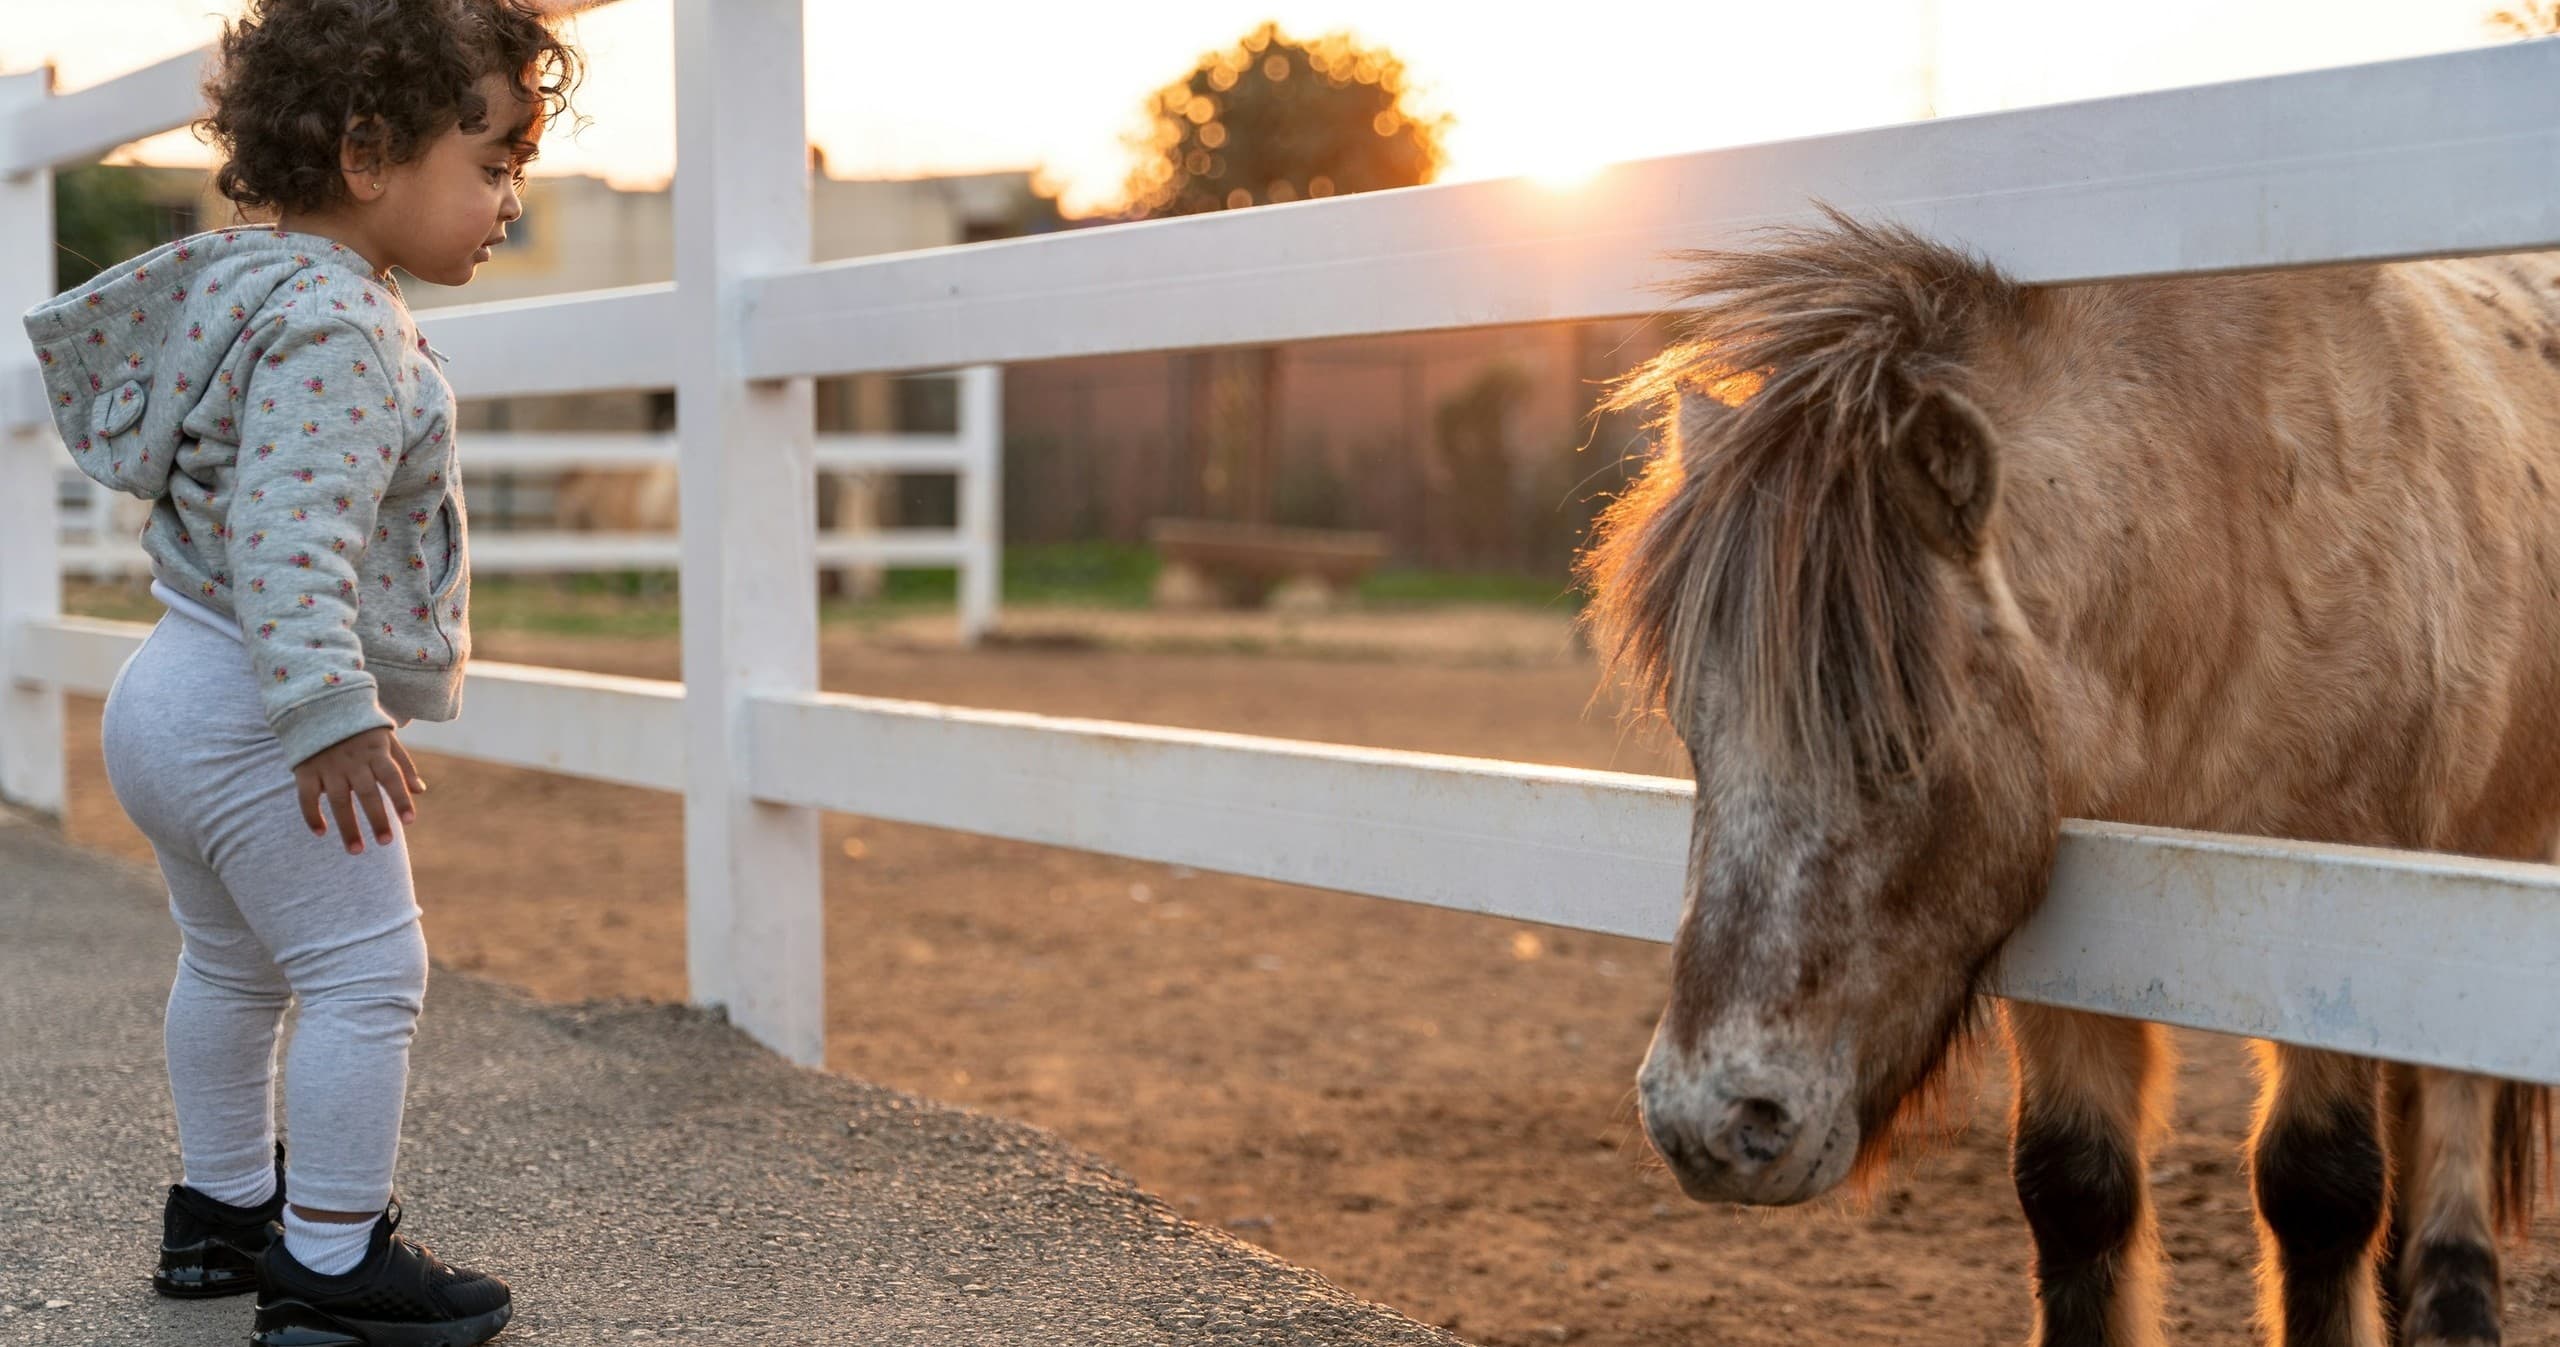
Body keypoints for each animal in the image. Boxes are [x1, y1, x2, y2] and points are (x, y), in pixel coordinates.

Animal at [1577, 213, 2560, 1347]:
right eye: (1692, 734)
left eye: (1904, 738)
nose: (1710, 1122)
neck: (2237, 532)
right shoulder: (2074, 930)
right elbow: (2073, 1187)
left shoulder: (2339, 899)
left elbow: (2318, 1189)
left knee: (2455, 1086)